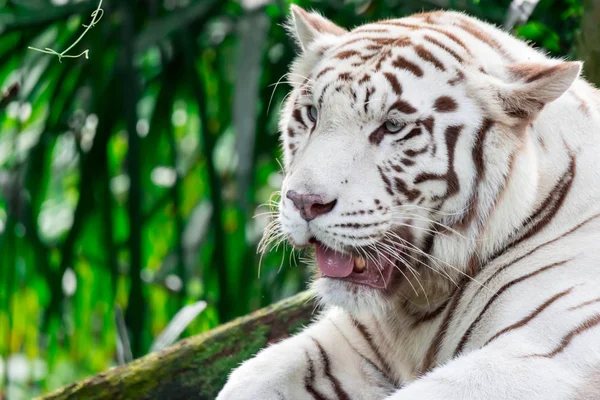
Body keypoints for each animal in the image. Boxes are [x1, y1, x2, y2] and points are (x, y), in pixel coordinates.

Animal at [218, 6, 600, 400]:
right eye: (312, 113)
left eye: (393, 126)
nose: (305, 202)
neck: (416, 312)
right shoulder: (352, 340)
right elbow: (254, 376)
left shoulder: (545, 354)